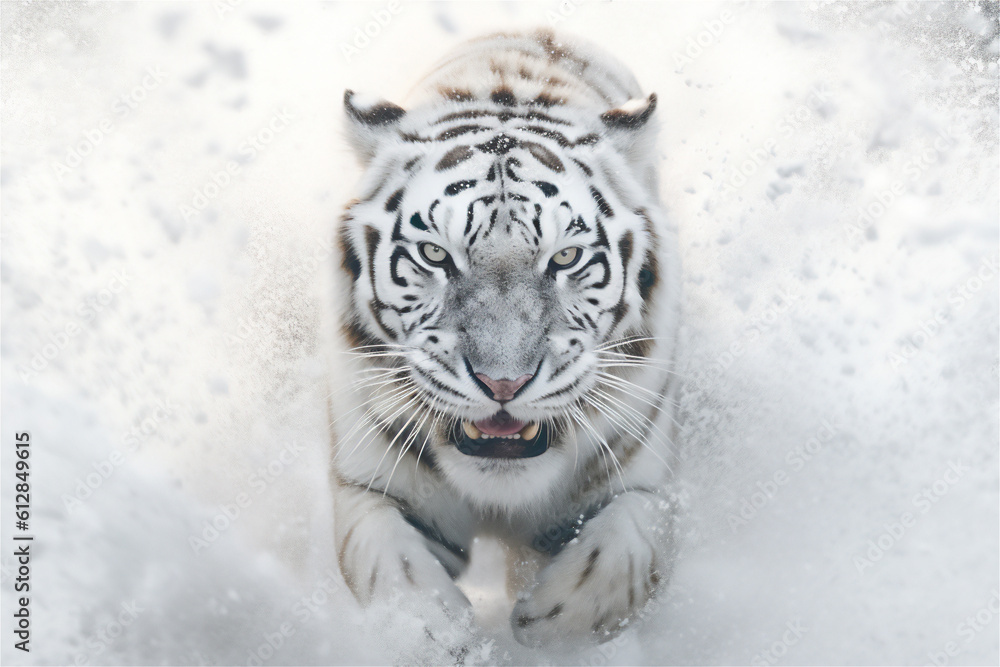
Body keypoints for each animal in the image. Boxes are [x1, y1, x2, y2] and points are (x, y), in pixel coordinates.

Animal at [326, 28, 682, 648]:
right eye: (435, 254)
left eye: (564, 257)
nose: (503, 384)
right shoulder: (369, 483)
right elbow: (390, 565)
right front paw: (446, 636)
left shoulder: (646, 475)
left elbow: (629, 544)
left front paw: (548, 625)